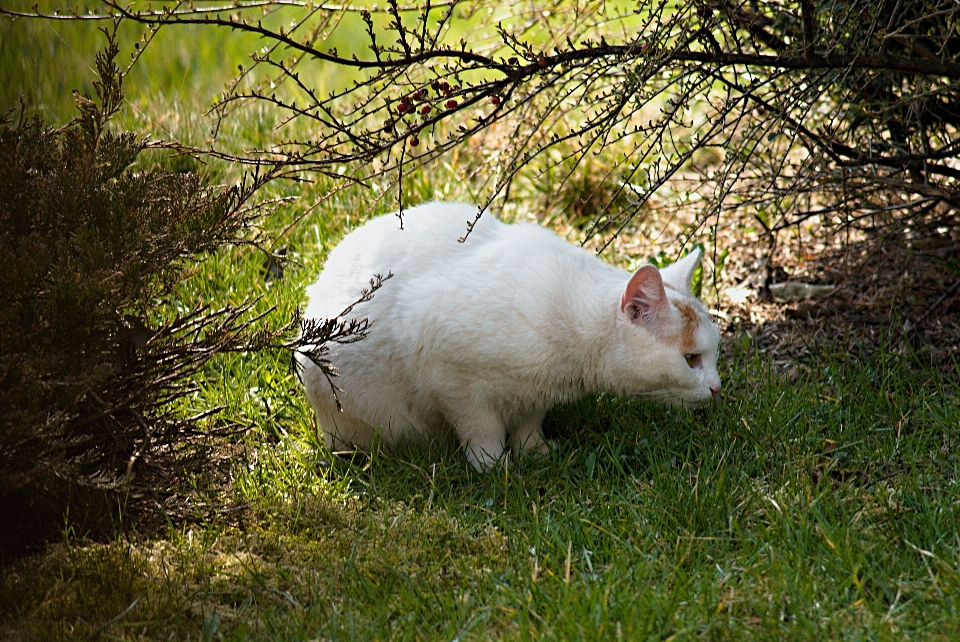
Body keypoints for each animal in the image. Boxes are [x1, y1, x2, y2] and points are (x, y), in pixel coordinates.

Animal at [300, 202, 720, 468]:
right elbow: (481, 430)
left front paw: (535, 453)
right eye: (691, 359)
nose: (717, 388)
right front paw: (494, 467)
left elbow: (528, 422)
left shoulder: (536, 393)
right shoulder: (453, 381)